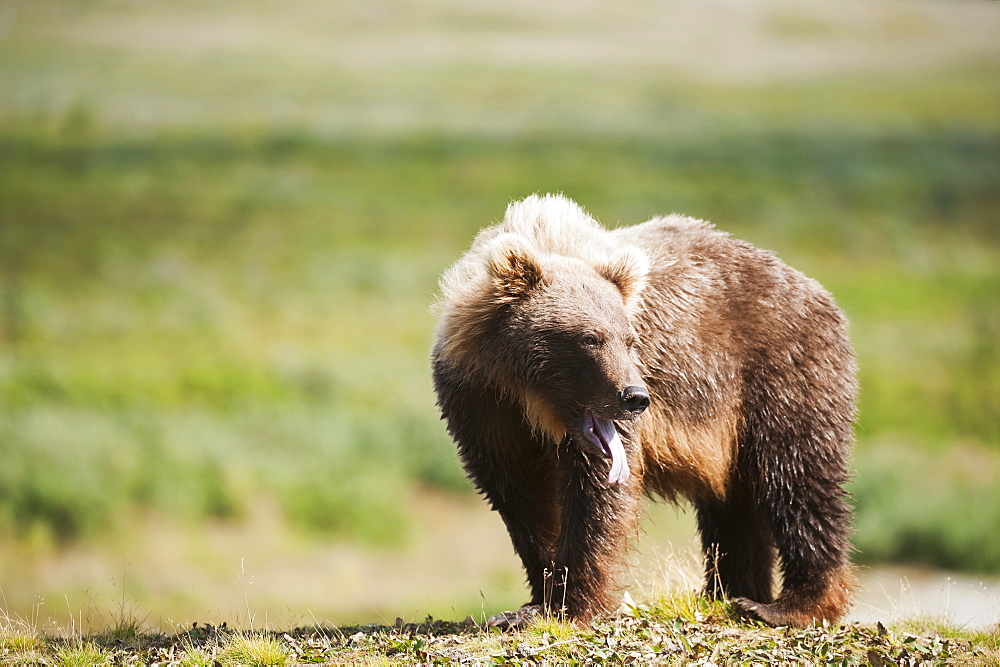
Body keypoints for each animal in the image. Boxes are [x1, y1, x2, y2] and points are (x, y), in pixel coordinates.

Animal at [434, 192, 856, 628]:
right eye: (590, 338)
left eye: (629, 339)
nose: (635, 396)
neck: (534, 399)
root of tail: (817, 291)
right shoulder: (481, 404)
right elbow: (520, 496)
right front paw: (534, 596)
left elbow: (598, 494)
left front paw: (570, 603)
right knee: (735, 505)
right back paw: (729, 592)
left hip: (777, 374)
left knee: (798, 477)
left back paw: (788, 605)